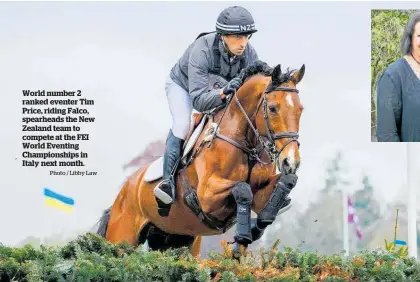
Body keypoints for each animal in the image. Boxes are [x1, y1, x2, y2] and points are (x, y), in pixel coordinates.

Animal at [96, 60, 306, 258]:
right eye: (272, 108)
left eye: (300, 109)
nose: (291, 161)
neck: (245, 145)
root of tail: (121, 195)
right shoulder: (207, 195)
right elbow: (242, 188)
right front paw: (242, 238)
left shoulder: (261, 194)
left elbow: (285, 184)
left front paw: (254, 230)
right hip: (122, 238)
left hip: (177, 239)